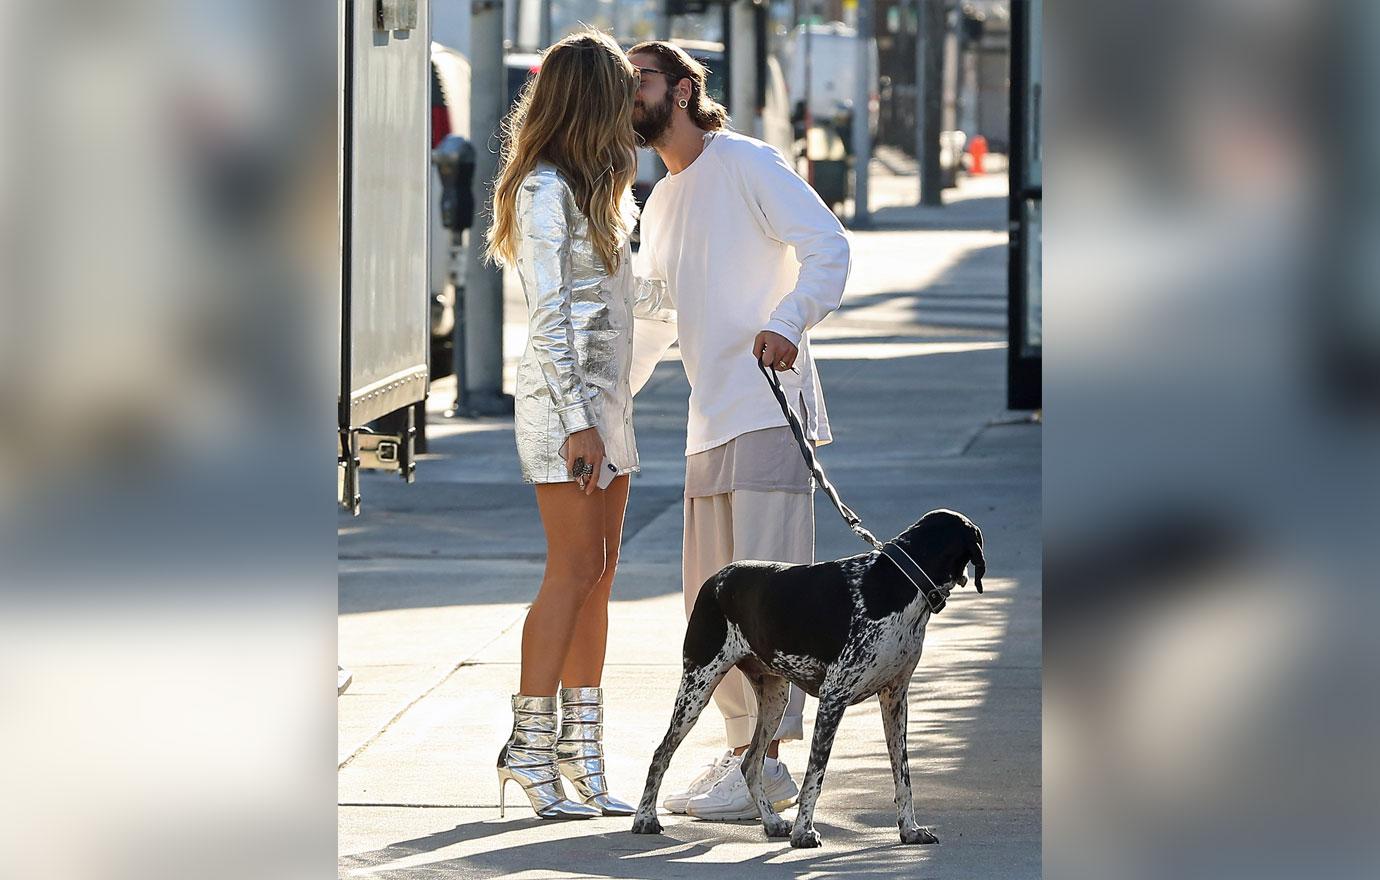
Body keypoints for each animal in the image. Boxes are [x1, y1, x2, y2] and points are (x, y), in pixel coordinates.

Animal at [632, 513, 988, 849]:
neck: (903, 581)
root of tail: (715, 579)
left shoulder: (895, 699)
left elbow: (903, 777)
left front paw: (910, 829)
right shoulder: (834, 698)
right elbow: (814, 777)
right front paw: (804, 832)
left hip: (775, 699)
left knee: (750, 763)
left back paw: (772, 822)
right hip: (697, 688)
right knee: (661, 754)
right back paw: (645, 818)